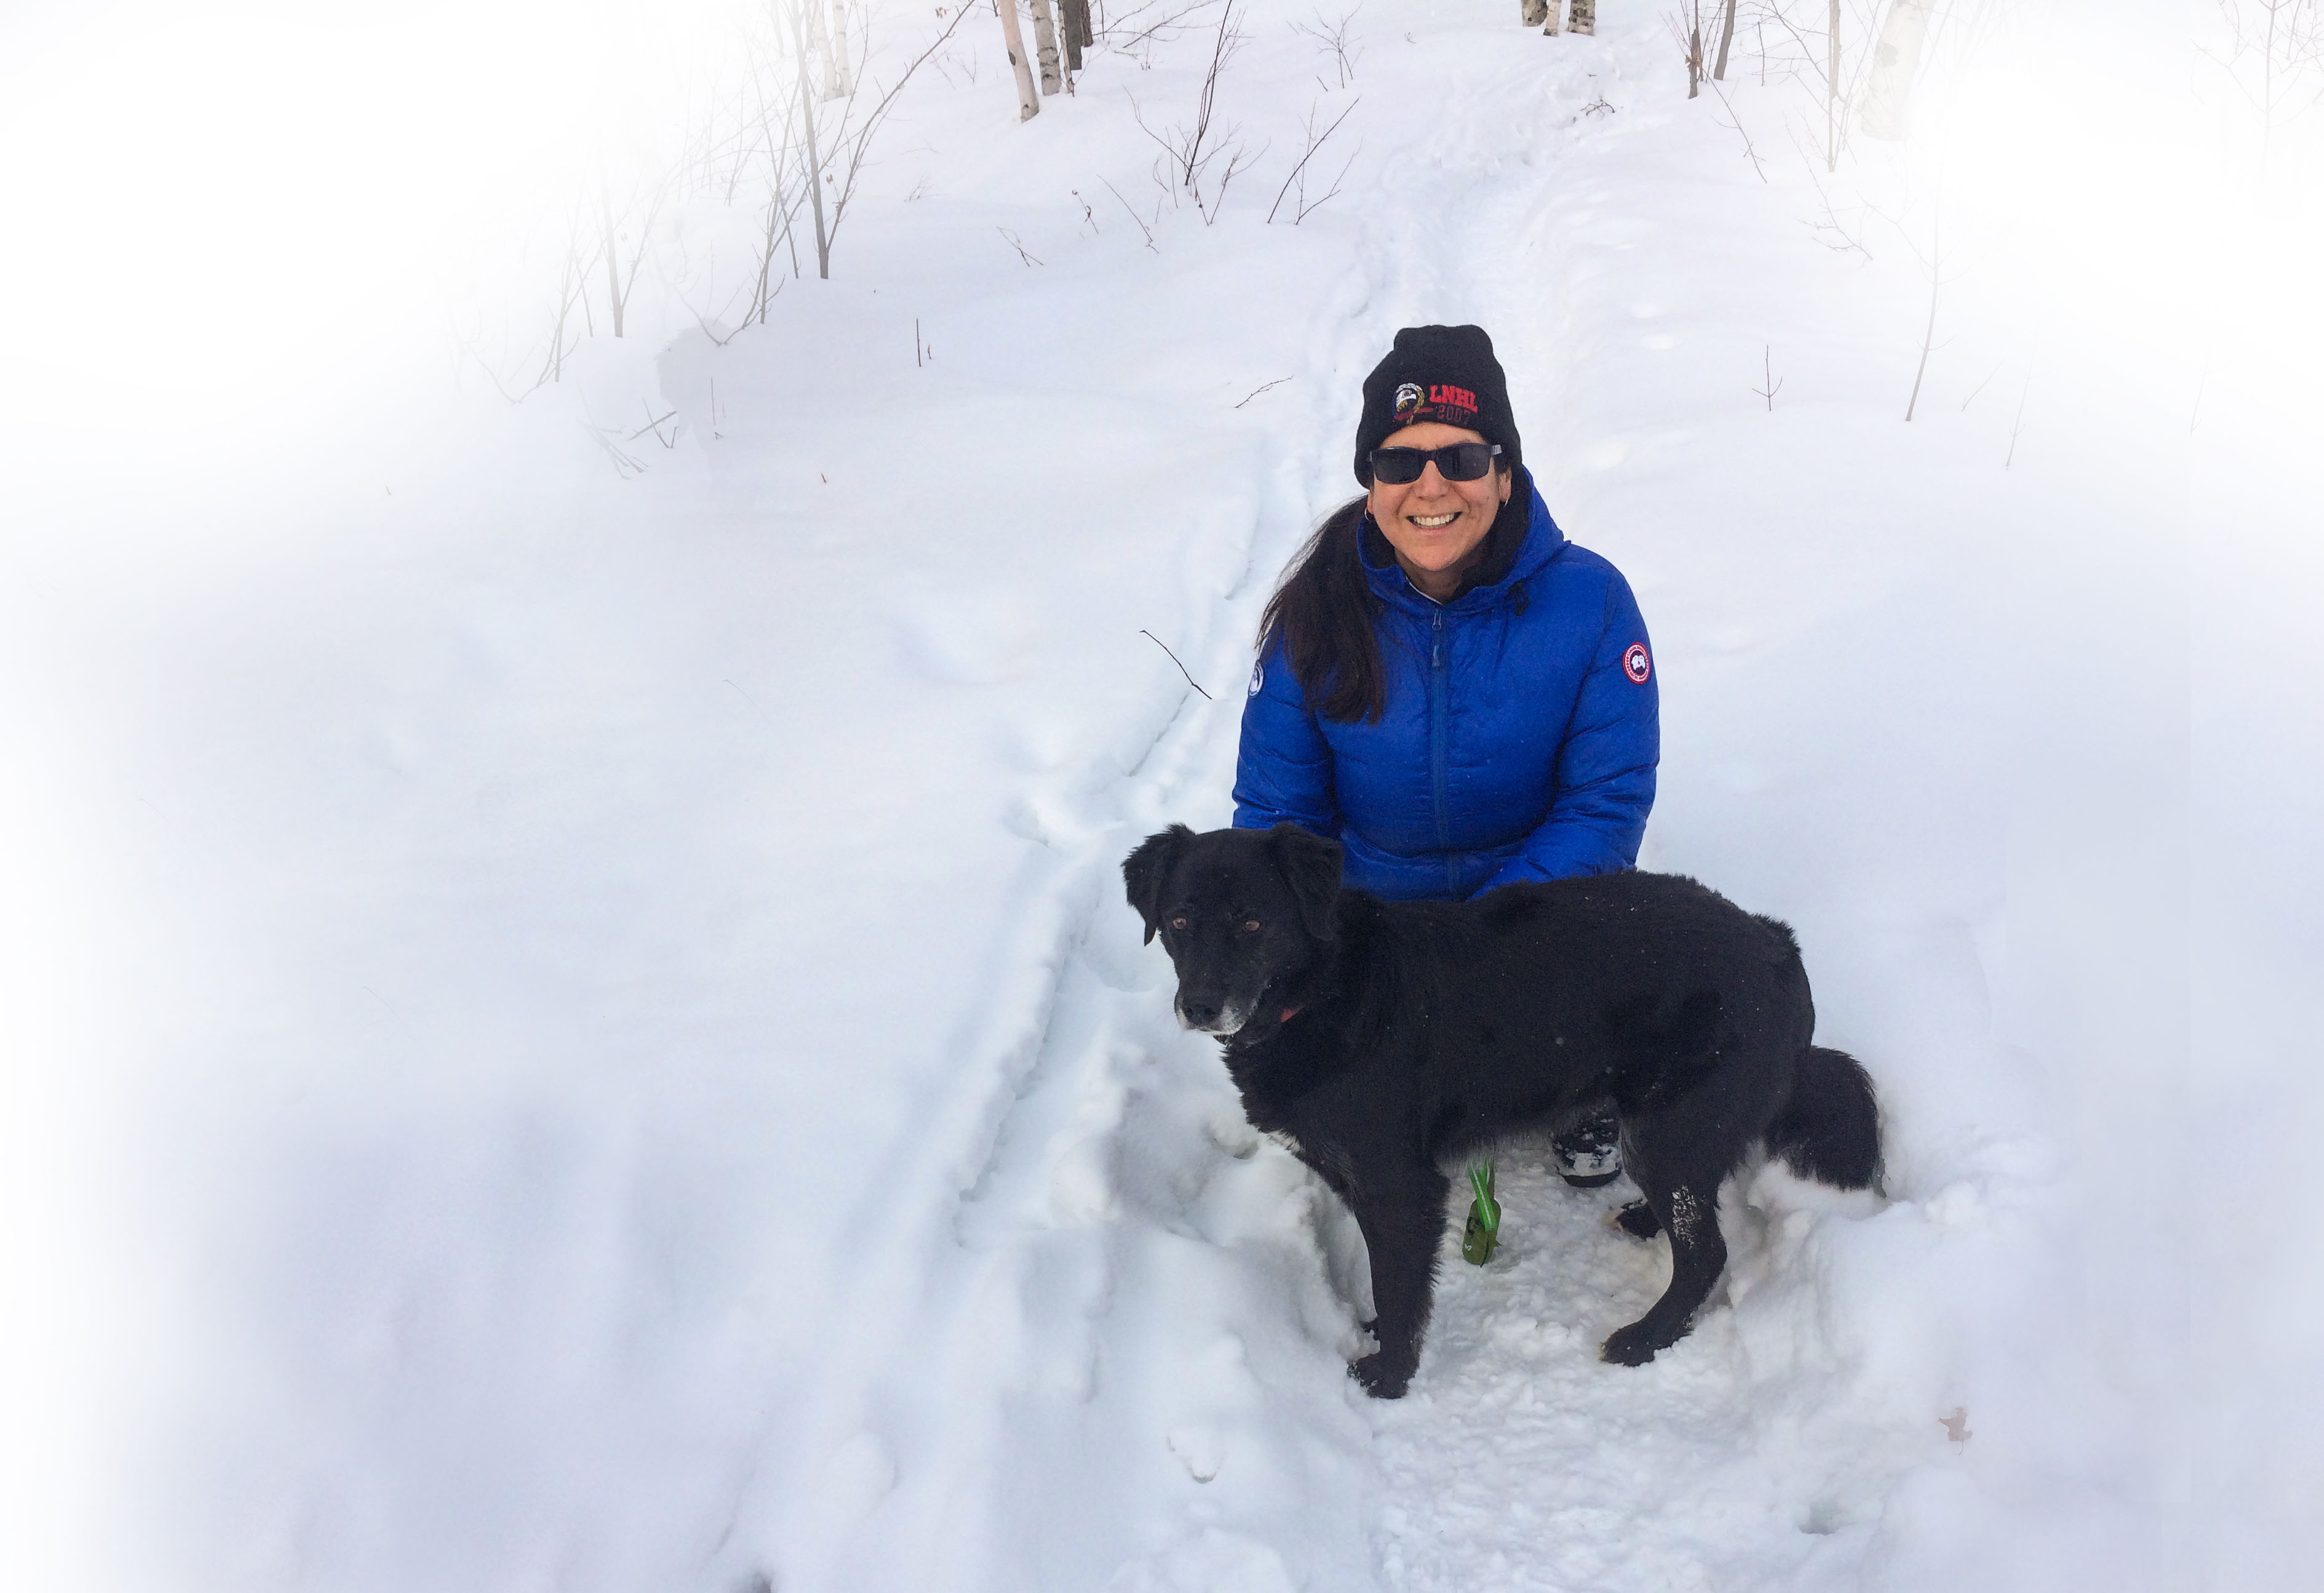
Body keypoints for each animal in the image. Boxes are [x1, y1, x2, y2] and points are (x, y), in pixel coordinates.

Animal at [1129, 818, 1887, 1395]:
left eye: (1254, 922)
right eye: (1178, 921)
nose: (1198, 1007)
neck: (1323, 992)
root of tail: (1776, 943)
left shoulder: (1400, 1185)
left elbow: (1400, 1285)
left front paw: (1390, 1375)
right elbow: (1385, 1277)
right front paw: (1374, 1333)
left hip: (1668, 1127)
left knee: (1707, 1252)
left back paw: (1644, 1338)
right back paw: (1645, 1222)